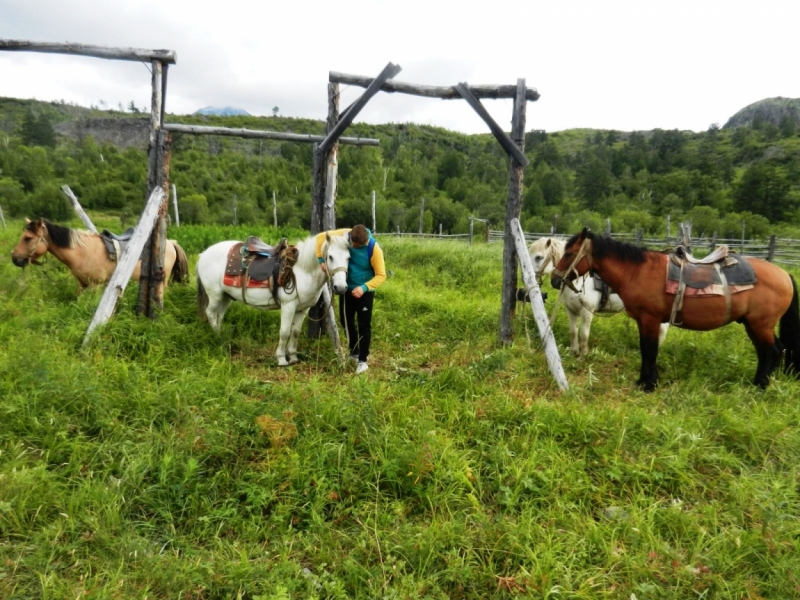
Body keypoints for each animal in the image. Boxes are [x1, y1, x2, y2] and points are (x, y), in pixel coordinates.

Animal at [10, 219, 189, 294]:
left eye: (27, 238)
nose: (15, 258)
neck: (82, 252)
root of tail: (171, 243)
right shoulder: (82, 285)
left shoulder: (94, 286)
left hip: (162, 281)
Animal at [195, 233, 350, 366]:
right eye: (330, 257)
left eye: (349, 258)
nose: (340, 287)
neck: (301, 270)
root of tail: (203, 254)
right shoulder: (288, 306)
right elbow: (285, 332)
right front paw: (281, 359)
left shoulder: (302, 308)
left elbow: (295, 332)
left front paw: (293, 357)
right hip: (215, 295)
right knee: (210, 313)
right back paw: (218, 339)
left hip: (225, 296)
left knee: (219, 315)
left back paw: (222, 338)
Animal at [528, 234, 664, 356]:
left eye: (538, 257)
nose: (531, 278)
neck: (578, 282)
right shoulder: (571, 310)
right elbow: (573, 331)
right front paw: (574, 352)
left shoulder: (587, 311)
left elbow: (584, 334)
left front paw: (583, 355)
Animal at [552, 227, 800, 392]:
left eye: (569, 254)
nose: (555, 280)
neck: (637, 272)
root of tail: (785, 274)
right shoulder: (643, 320)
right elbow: (646, 349)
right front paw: (644, 380)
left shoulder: (650, 319)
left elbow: (650, 350)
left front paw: (649, 384)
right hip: (752, 324)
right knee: (765, 352)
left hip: (761, 324)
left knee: (773, 351)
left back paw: (760, 386)